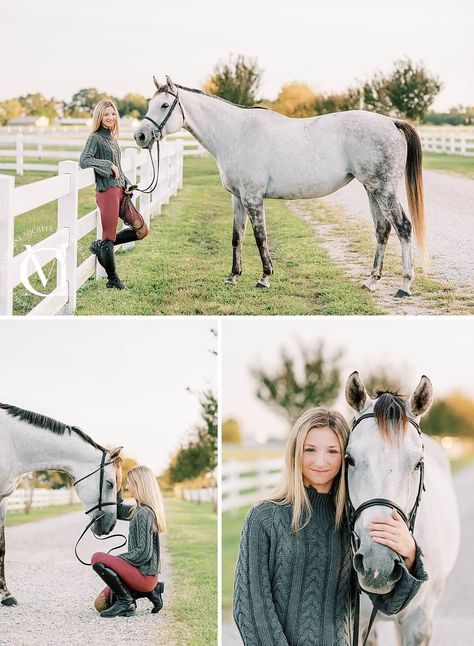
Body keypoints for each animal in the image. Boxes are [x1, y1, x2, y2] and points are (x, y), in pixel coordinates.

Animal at [0, 402, 122, 612]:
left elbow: (1, 549)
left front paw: (6, 595)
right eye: (110, 483)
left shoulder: (3, 500)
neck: (11, 442)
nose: (111, 524)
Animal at [135, 76, 428, 298]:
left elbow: (260, 237)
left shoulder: (253, 198)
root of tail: (392, 122)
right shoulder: (237, 198)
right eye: (150, 103)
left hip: (383, 189)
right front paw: (233, 276)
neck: (236, 133)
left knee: (403, 227)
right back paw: (371, 281)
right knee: (382, 230)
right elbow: (237, 237)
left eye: (164, 105)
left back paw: (404, 285)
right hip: (371, 189)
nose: (140, 135)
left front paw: (264, 277)